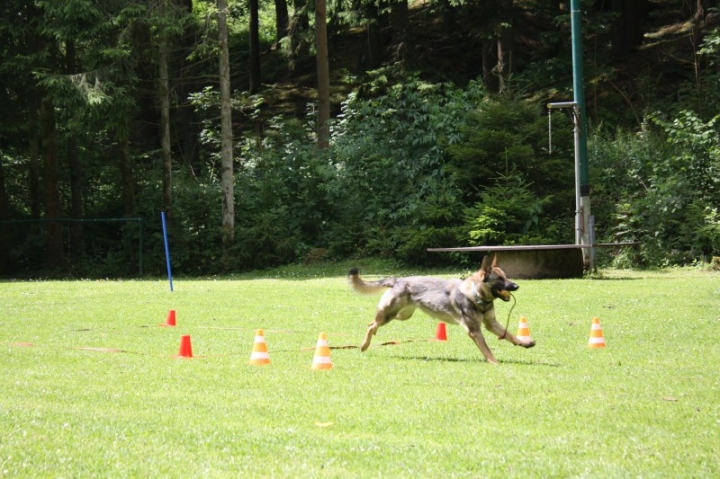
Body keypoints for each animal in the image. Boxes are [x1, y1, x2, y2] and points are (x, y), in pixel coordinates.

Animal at [348, 255, 536, 364]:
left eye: (507, 277)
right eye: (500, 279)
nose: (516, 286)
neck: (476, 295)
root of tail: (398, 280)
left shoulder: (491, 324)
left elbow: (510, 335)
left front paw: (525, 343)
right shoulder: (475, 330)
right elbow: (487, 349)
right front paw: (495, 363)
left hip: (402, 316)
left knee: (372, 322)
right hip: (390, 314)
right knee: (371, 324)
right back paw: (364, 345)